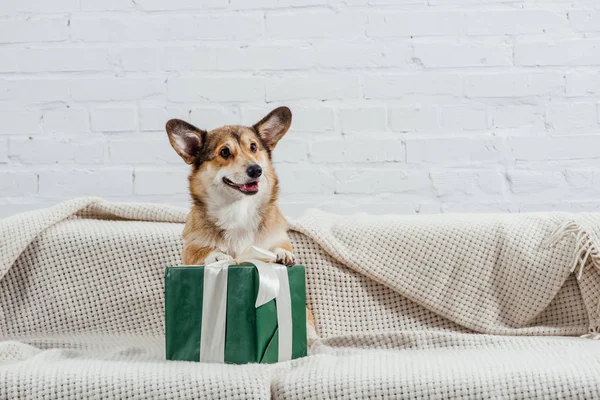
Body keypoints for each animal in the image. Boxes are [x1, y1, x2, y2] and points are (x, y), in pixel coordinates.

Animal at [163, 105, 314, 328]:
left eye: (253, 147)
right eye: (224, 152)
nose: (256, 170)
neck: (238, 209)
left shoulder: (278, 237)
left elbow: (281, 246)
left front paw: (282, 254)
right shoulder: (189, 249)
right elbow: (201, 251)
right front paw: (218, 255)